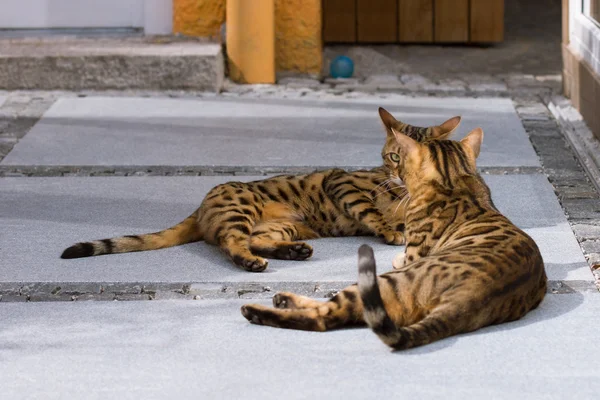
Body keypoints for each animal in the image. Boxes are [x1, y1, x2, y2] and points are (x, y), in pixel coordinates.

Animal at [61, 108, 460, 272]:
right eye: (393, 157)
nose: (403, 178)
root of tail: (200, 207)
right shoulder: (342, 182)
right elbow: (371, 210)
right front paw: (391, 229)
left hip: (283, 225)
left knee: (253, 239)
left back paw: (293, 251)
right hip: (241, 205)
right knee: (232, 244)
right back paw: (252, 262)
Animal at [240, 129, 548, 350]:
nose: (398, 174)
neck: (454, 180)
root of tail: (468, 298)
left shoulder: (413, 252)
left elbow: (403, 253)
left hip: (384, 283)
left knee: (329, 316)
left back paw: (259, 309)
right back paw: (280, 301)